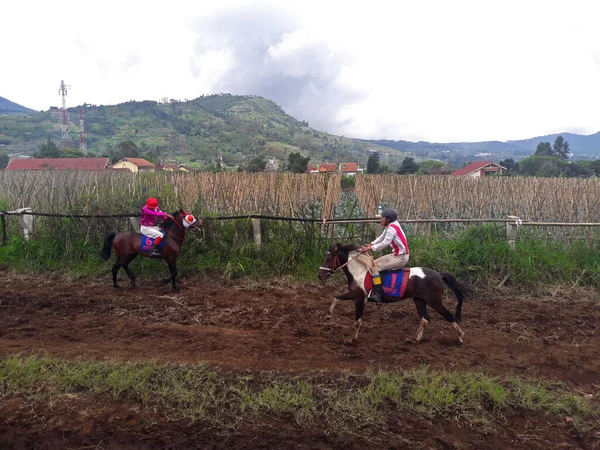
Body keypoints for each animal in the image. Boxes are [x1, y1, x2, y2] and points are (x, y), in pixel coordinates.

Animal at [316, 244, 476, 342]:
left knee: (448, 316)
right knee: (425, 319)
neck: (360, 271)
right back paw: (415, 339)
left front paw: (352, 339)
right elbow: (335, 298)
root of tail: (439, 275)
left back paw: (460, 337)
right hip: (419, 300)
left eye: (329, 258)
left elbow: (357, 321)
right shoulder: (355, 295)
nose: (319, 275)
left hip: (434, 301)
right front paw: (328, 316)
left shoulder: (361, 299)